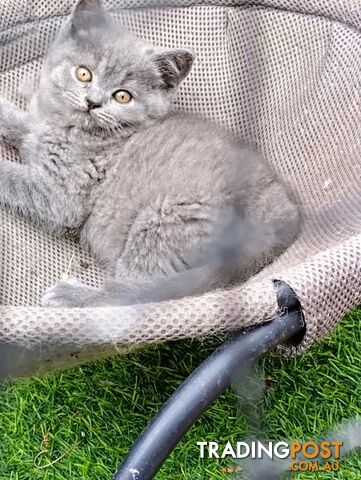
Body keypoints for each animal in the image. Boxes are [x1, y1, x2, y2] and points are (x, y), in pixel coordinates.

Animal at [0, 0, 298, 308]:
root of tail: (283, 216)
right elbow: (22, 124)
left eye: (122, 96)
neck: (68, 127)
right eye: (84, 73)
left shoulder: (61, 197)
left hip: (164, 222)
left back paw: (71, 296)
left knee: (132, 297)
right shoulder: (35, 130)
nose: (92, 102)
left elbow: (13, 177)